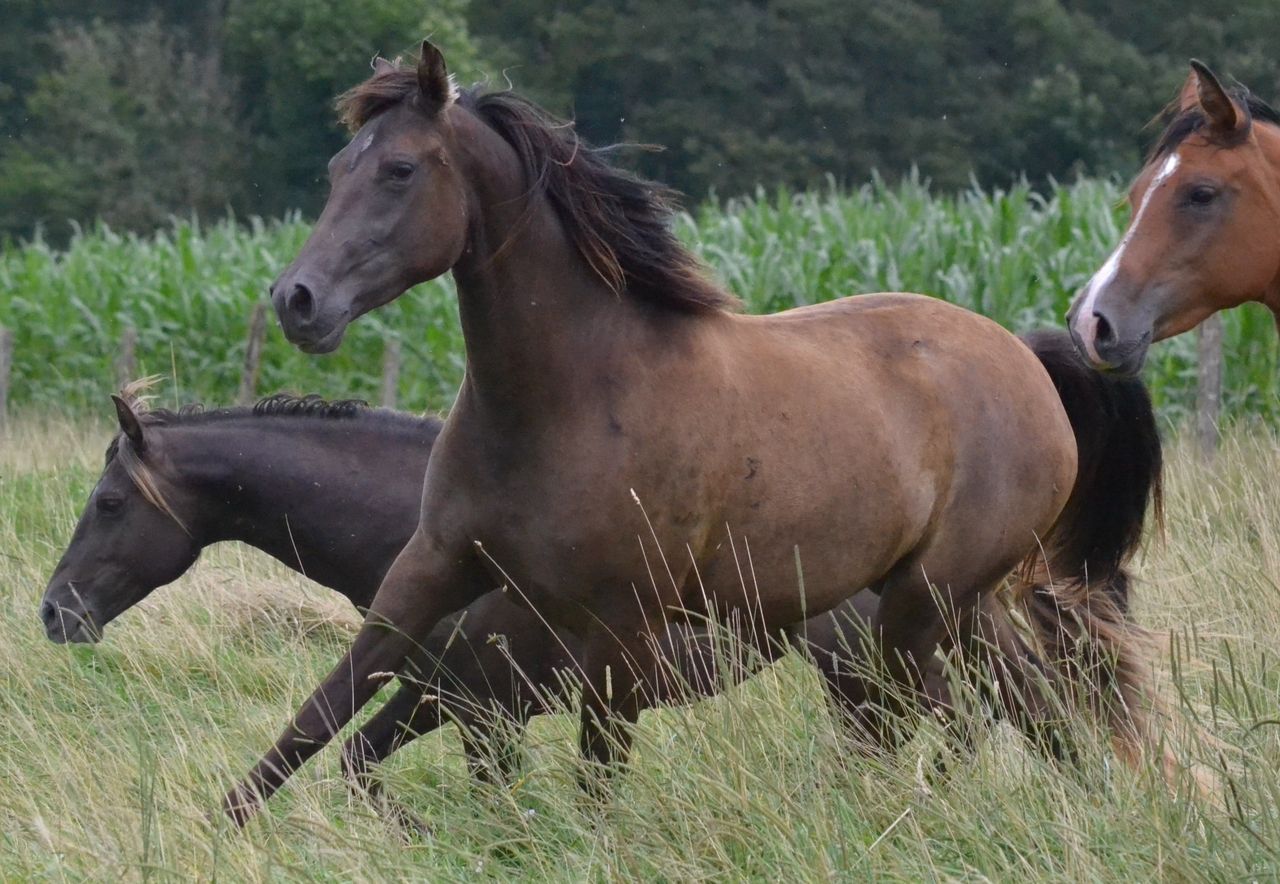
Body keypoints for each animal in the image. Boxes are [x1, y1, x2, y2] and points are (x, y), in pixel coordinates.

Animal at [225, 41, 1167, 828]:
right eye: (337, 167)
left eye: (400, 169)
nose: (298, 301)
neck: (569, 398)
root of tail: (1027, 361)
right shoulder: (436, 564)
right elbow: (330, 705)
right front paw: (226, 825)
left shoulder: (621, 619)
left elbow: (598, 771)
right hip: (953, 604)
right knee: (1026, 707)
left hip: (924, 601)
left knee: (923, 718)